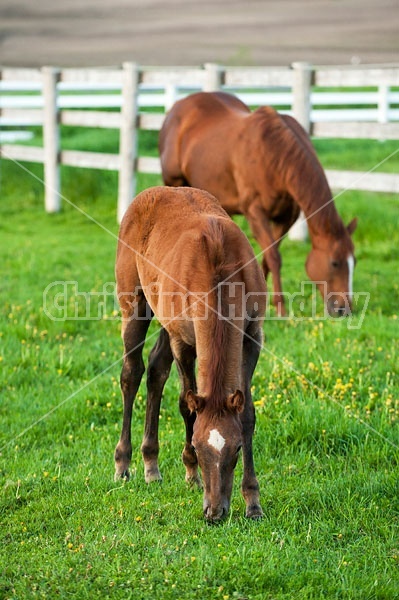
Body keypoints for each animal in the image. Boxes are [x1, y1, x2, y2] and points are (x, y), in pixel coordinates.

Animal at [114, 188, 268, 520]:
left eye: (237, 448)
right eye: (197, 447)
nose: (215, 513)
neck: (218, 267)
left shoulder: (252, 337)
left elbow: (247, 413)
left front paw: (252, 501)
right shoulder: (183, 341)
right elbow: (188, 404)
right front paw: (192, 474)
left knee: (156, 370)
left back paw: (151, 464)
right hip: (135, 305)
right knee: (132, 373)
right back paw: (124, 463)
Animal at [159, 91, 360, 316]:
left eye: (354, 262)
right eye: (335, 263)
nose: (344, 309)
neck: (274, 154)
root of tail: (178, 106)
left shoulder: (286, 217)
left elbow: (268, 254)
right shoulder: (255, 212)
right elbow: (274, 257)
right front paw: (280, 307)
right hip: (174, 183)